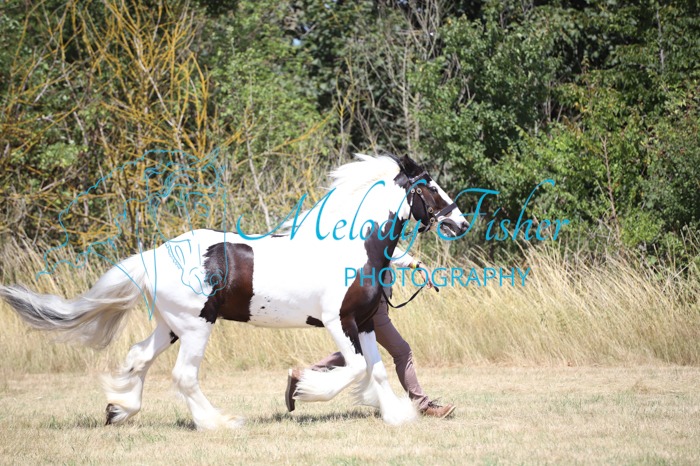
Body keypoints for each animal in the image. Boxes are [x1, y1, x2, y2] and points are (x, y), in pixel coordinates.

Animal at [0, 154, 469, 430]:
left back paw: (120, 409)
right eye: (429, 186)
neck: (353, 247)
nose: (460, 222)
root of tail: (155, 255)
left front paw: (396, 415)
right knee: (183, 376)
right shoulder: (338, 321)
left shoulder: (368, 321)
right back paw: (219, 422)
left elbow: (377, 369)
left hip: (171, 325)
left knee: (138, 357)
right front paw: (301, 390)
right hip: (195, 326)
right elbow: (355, 368)